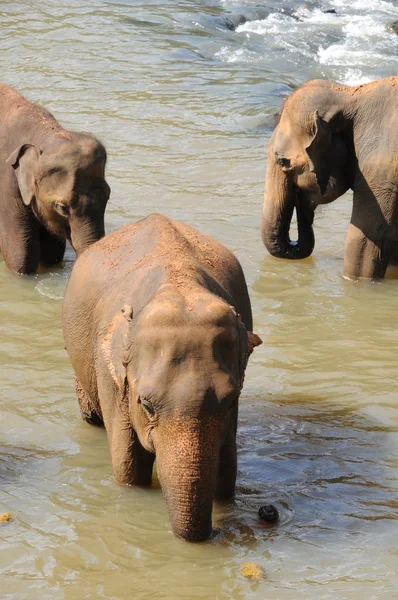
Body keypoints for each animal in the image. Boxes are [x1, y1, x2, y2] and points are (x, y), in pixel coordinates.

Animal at [61, 213, 262, 540]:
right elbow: (128, 468)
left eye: (232, 401)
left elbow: (227, 469)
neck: (178, 287)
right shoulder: (113, 379)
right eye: (146, 404)